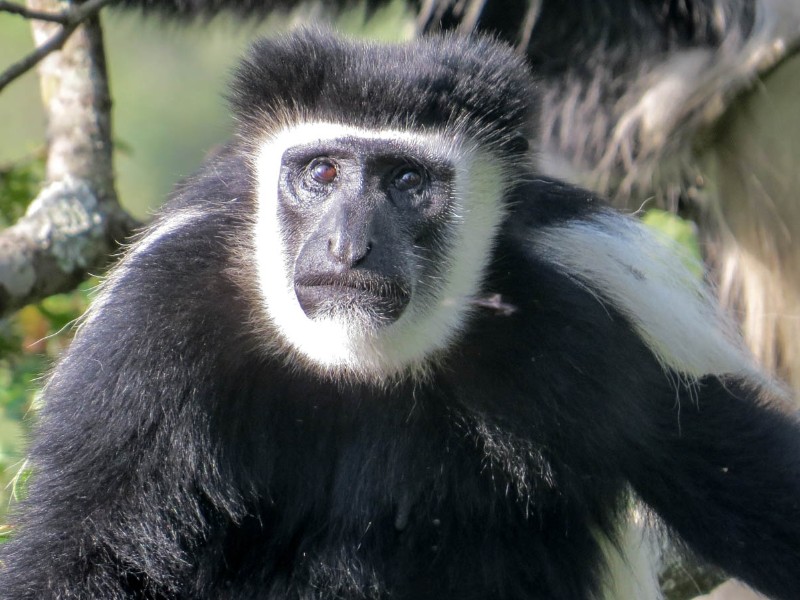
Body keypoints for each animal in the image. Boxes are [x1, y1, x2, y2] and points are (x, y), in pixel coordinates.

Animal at [1, 29, 799, 600]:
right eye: (322, 172)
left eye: (408, 179)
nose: (348, 247)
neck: (361, 364)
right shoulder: (154, 329)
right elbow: (85, 551)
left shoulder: (596, 311)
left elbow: (736, 467)